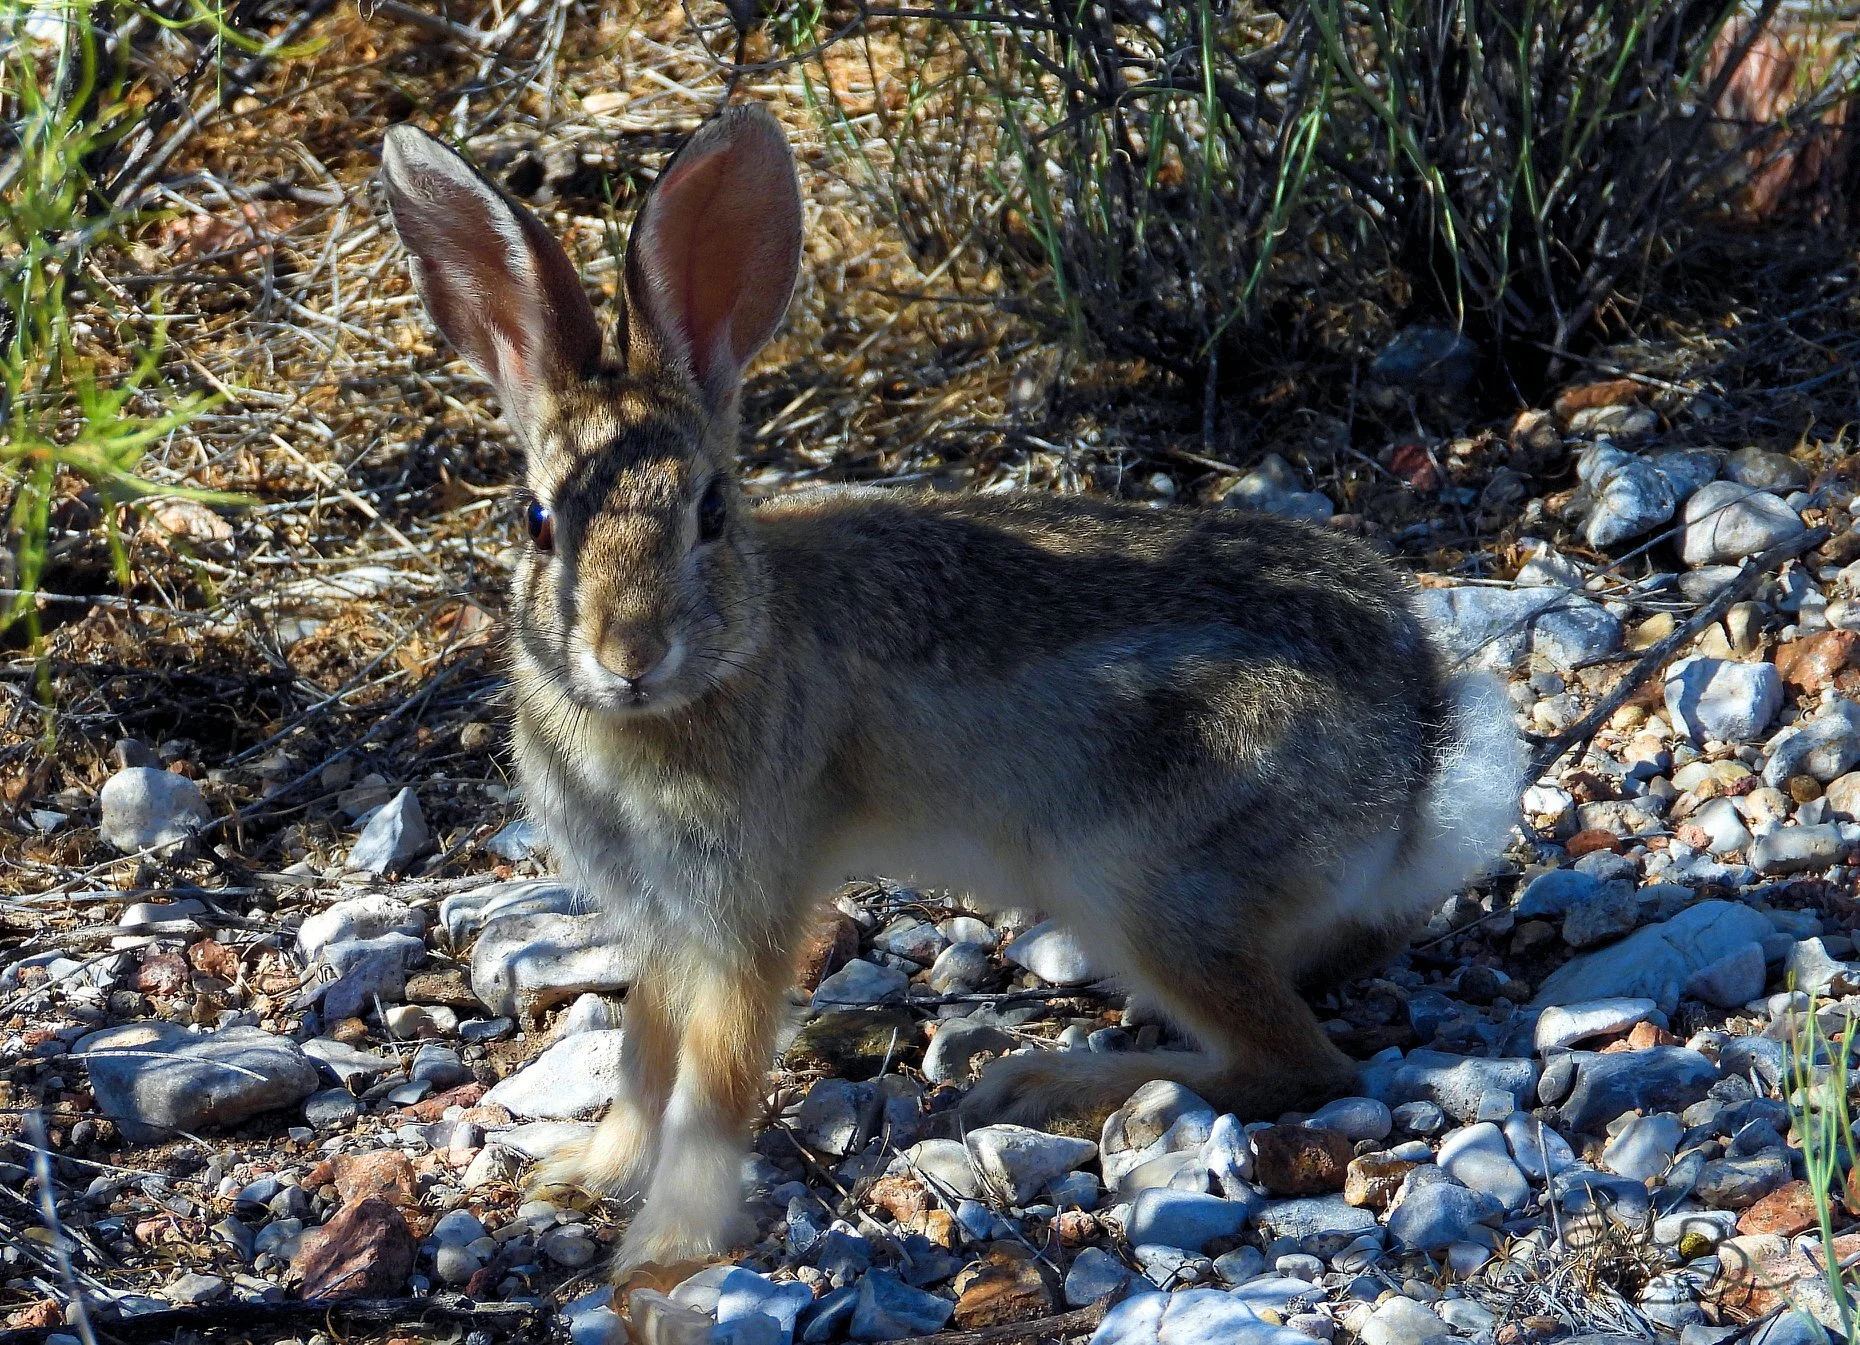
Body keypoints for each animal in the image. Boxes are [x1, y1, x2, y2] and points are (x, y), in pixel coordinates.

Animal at [378, 103, 1524, 1273]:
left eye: (712, 512)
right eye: (538, 522)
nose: (629, 652)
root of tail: (1419, 756)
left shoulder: (749, 906)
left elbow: (714, 1076)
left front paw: (668, 1246)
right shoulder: (660, 919)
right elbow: (644, 1058)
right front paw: (587, 1175)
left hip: (1142, 885)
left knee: (1299, 1063)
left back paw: (1041, 1082)